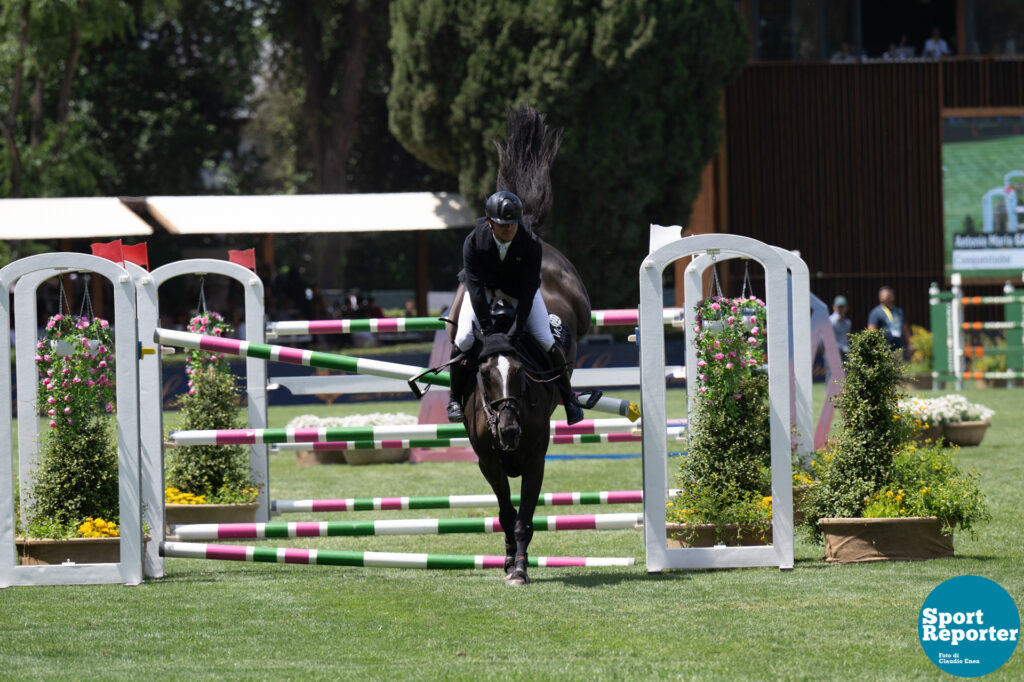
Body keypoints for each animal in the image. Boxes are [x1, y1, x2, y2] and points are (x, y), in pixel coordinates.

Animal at [446, 106, 593, 585]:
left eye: (524, 375)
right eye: (483, 375)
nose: (509, 431)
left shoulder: (534, 459)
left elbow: (526, 515)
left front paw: (521, 568)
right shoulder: (489, 463)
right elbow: (507, 513)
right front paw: (510, 563)